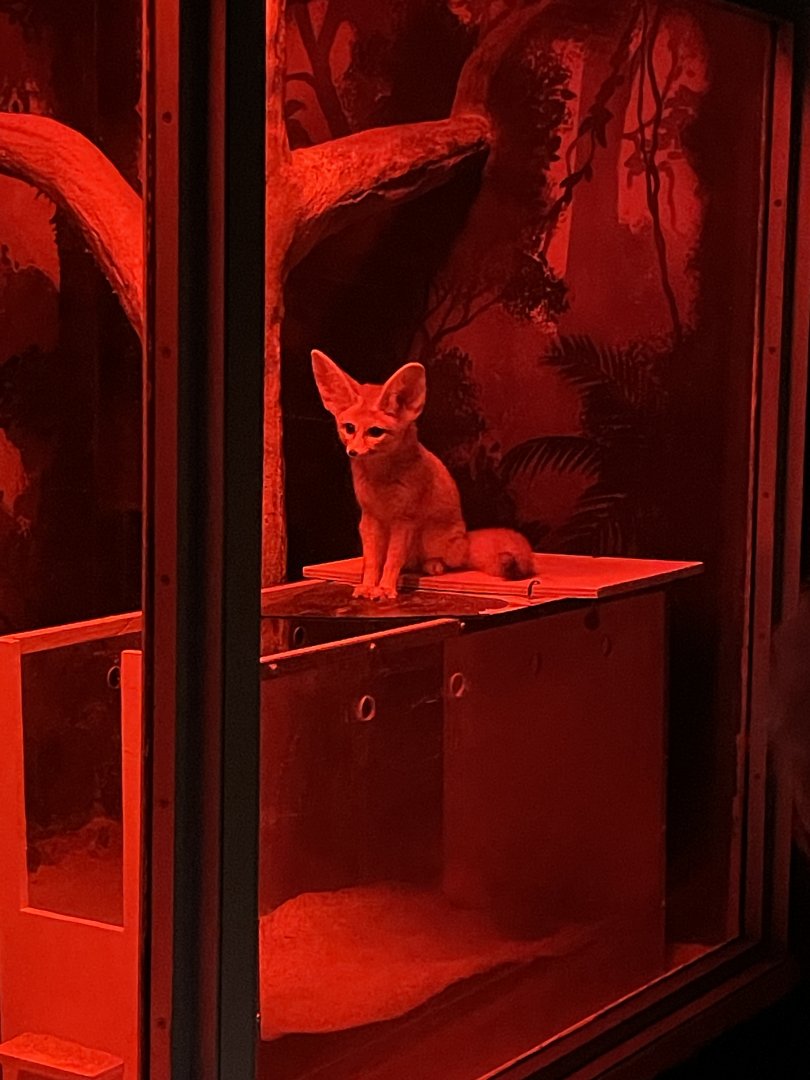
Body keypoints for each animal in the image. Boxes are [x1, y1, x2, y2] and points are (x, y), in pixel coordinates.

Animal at [312, 349, 534, 599]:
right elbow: (374, 562)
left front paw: (385, 588)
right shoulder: (370, 518)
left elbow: (392, 560)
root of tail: (467, 539)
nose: (353, 452)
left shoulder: (404, 520)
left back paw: (432, 565)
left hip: (432, 540)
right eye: (349, 428)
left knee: (444, 563)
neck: (381, 481)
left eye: (375, 432)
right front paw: (369, 585)